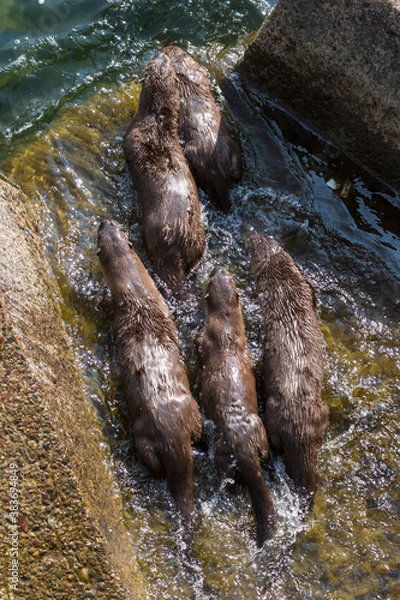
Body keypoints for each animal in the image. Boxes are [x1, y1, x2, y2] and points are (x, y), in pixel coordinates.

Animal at [97, 218, 203, 536]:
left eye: (101, 233)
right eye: (111, 229)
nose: (103, 221)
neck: (138, 297)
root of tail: (174, 437)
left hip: (144, 437)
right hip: (193, 413)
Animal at [197, 266, 276, 544]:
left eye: (211, 278)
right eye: (226, 276)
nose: (217, 268)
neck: (227, 333)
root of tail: (244, 446)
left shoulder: (202, 339)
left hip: (222, 451)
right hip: (261, 431)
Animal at [247, 232, 328, 504]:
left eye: (252, 244)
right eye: (261, 237)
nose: (251, 233)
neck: (284, 287)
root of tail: (300, 427)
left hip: (273, 414)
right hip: (322, 409)